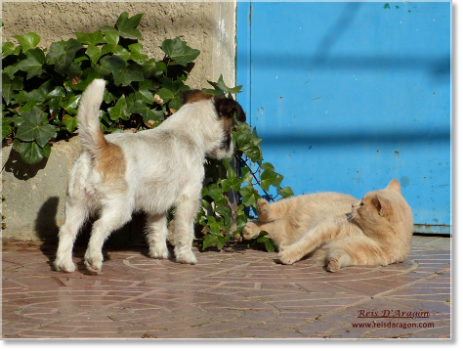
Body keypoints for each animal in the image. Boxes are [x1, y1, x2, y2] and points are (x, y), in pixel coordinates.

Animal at [54, 80, 246, 276]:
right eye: (231, 128)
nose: (231, 150)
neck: (186, 132)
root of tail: (100, 150)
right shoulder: (189, 198)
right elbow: (185, 230)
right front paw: (186, 256)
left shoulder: (157, 204)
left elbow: (158, 228)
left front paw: (159, 253)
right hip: (119, 208)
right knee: (99, 227)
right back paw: (93, 260)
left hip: (77, 204)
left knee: (67, 230)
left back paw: (65, 265)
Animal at [243, 180, 414, 270]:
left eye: (362, 204)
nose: (352, 205)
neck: (373, 236)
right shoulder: (329, 225)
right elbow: (307, 242)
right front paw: (289, 255)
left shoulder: (357, 252)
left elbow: (343, 255)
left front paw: (334, 262)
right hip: (294, 204)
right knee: (268, 214)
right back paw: (261, 209)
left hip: (279, 228)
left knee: (267, 227)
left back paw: (250, 230)